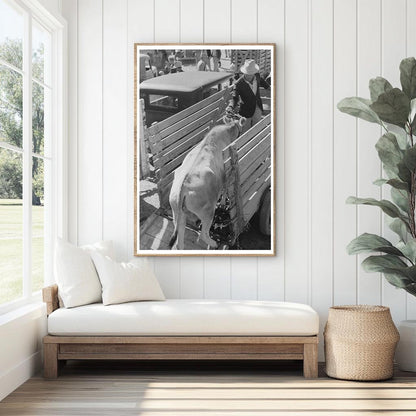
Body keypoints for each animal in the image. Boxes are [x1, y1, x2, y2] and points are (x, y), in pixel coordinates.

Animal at [169, 115, 245, 249]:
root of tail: (183, 187)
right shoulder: (225, 176)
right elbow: (225, 190)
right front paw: (223, 203)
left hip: (178, 215)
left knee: (179, 243)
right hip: (207, 212)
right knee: (203, 234)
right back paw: (214, 243)